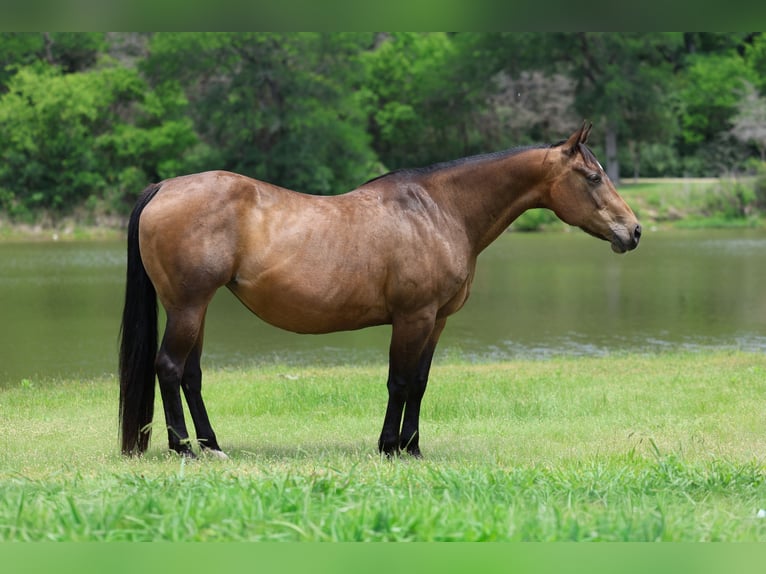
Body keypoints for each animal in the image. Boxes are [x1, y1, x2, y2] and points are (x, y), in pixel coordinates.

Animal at [119, 122, 641, 459]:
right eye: (593, 176)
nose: (633, 231)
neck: (438, 210)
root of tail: (165, 187)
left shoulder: (436, 321)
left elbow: (421, 382)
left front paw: (413, 447)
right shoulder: (413, 316)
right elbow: (400, 381)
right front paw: (391, 447)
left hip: (197, 308)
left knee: (190, 374)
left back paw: (213, 446)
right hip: (188, 306)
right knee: (169, 367)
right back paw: (184, 449)